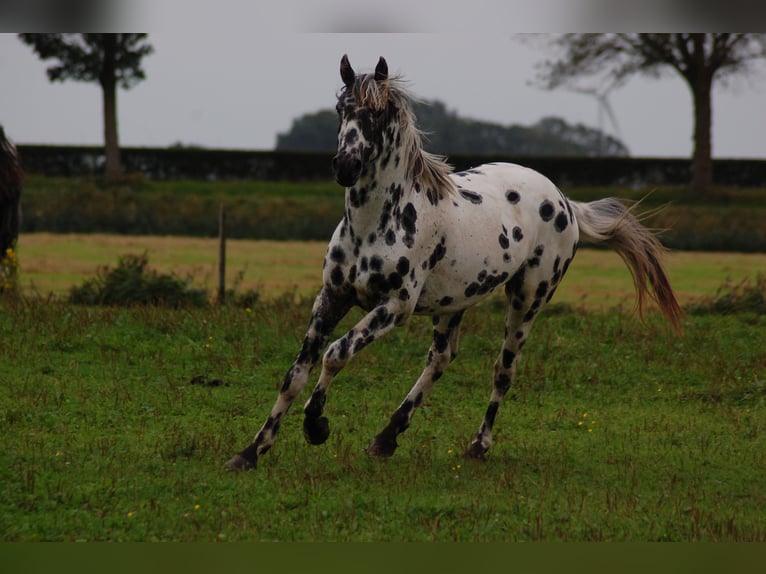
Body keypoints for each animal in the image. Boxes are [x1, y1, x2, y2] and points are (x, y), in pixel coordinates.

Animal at [226, 54, 684, 470]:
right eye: (342, 109)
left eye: (377, 112)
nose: (346, 166)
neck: (376, 222)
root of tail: (565, 202)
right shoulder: (332, 297)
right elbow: (295, 374)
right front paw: (251, 452)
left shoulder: (394, 308)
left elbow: (336, 353)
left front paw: (316, 425)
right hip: (454, 303)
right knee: (441, 359)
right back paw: (386, 438)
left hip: (528, 299)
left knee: (503, 370)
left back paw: (478, 445)